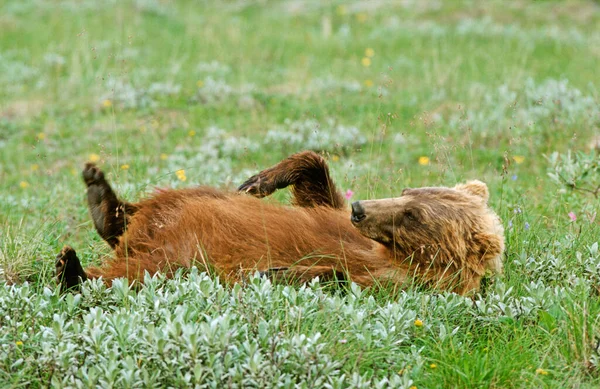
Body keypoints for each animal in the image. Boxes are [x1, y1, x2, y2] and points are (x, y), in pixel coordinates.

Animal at [57, 151, 506, 294]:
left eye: (414, 215)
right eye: (409, 191)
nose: (360, 209)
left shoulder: (395, 280)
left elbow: (337, 274)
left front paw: (276, 272)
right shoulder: (335, 217)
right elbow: (316, 185)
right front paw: (258, 181)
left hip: (176, 260)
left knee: (134, 273)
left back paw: (71, 268)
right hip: (176, 207)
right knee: (134, 218)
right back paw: (99, 194)